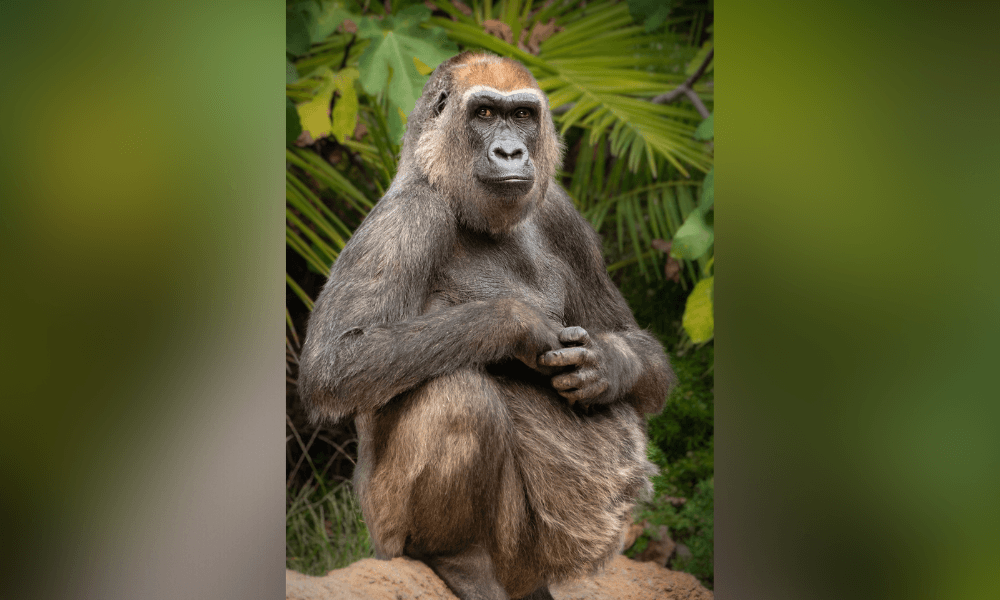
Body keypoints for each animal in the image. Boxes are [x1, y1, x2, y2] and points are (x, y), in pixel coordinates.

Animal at [298, 52, 675, 600]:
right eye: (483, 114)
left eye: (521, 116)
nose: (511, 151)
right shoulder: (410, 215)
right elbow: (335, 362)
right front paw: (518, 324)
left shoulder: (562, 212)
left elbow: (640, 351)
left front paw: (606, 365)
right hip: (384, 533)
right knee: (458, 395)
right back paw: (455, 558)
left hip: (527, 568)